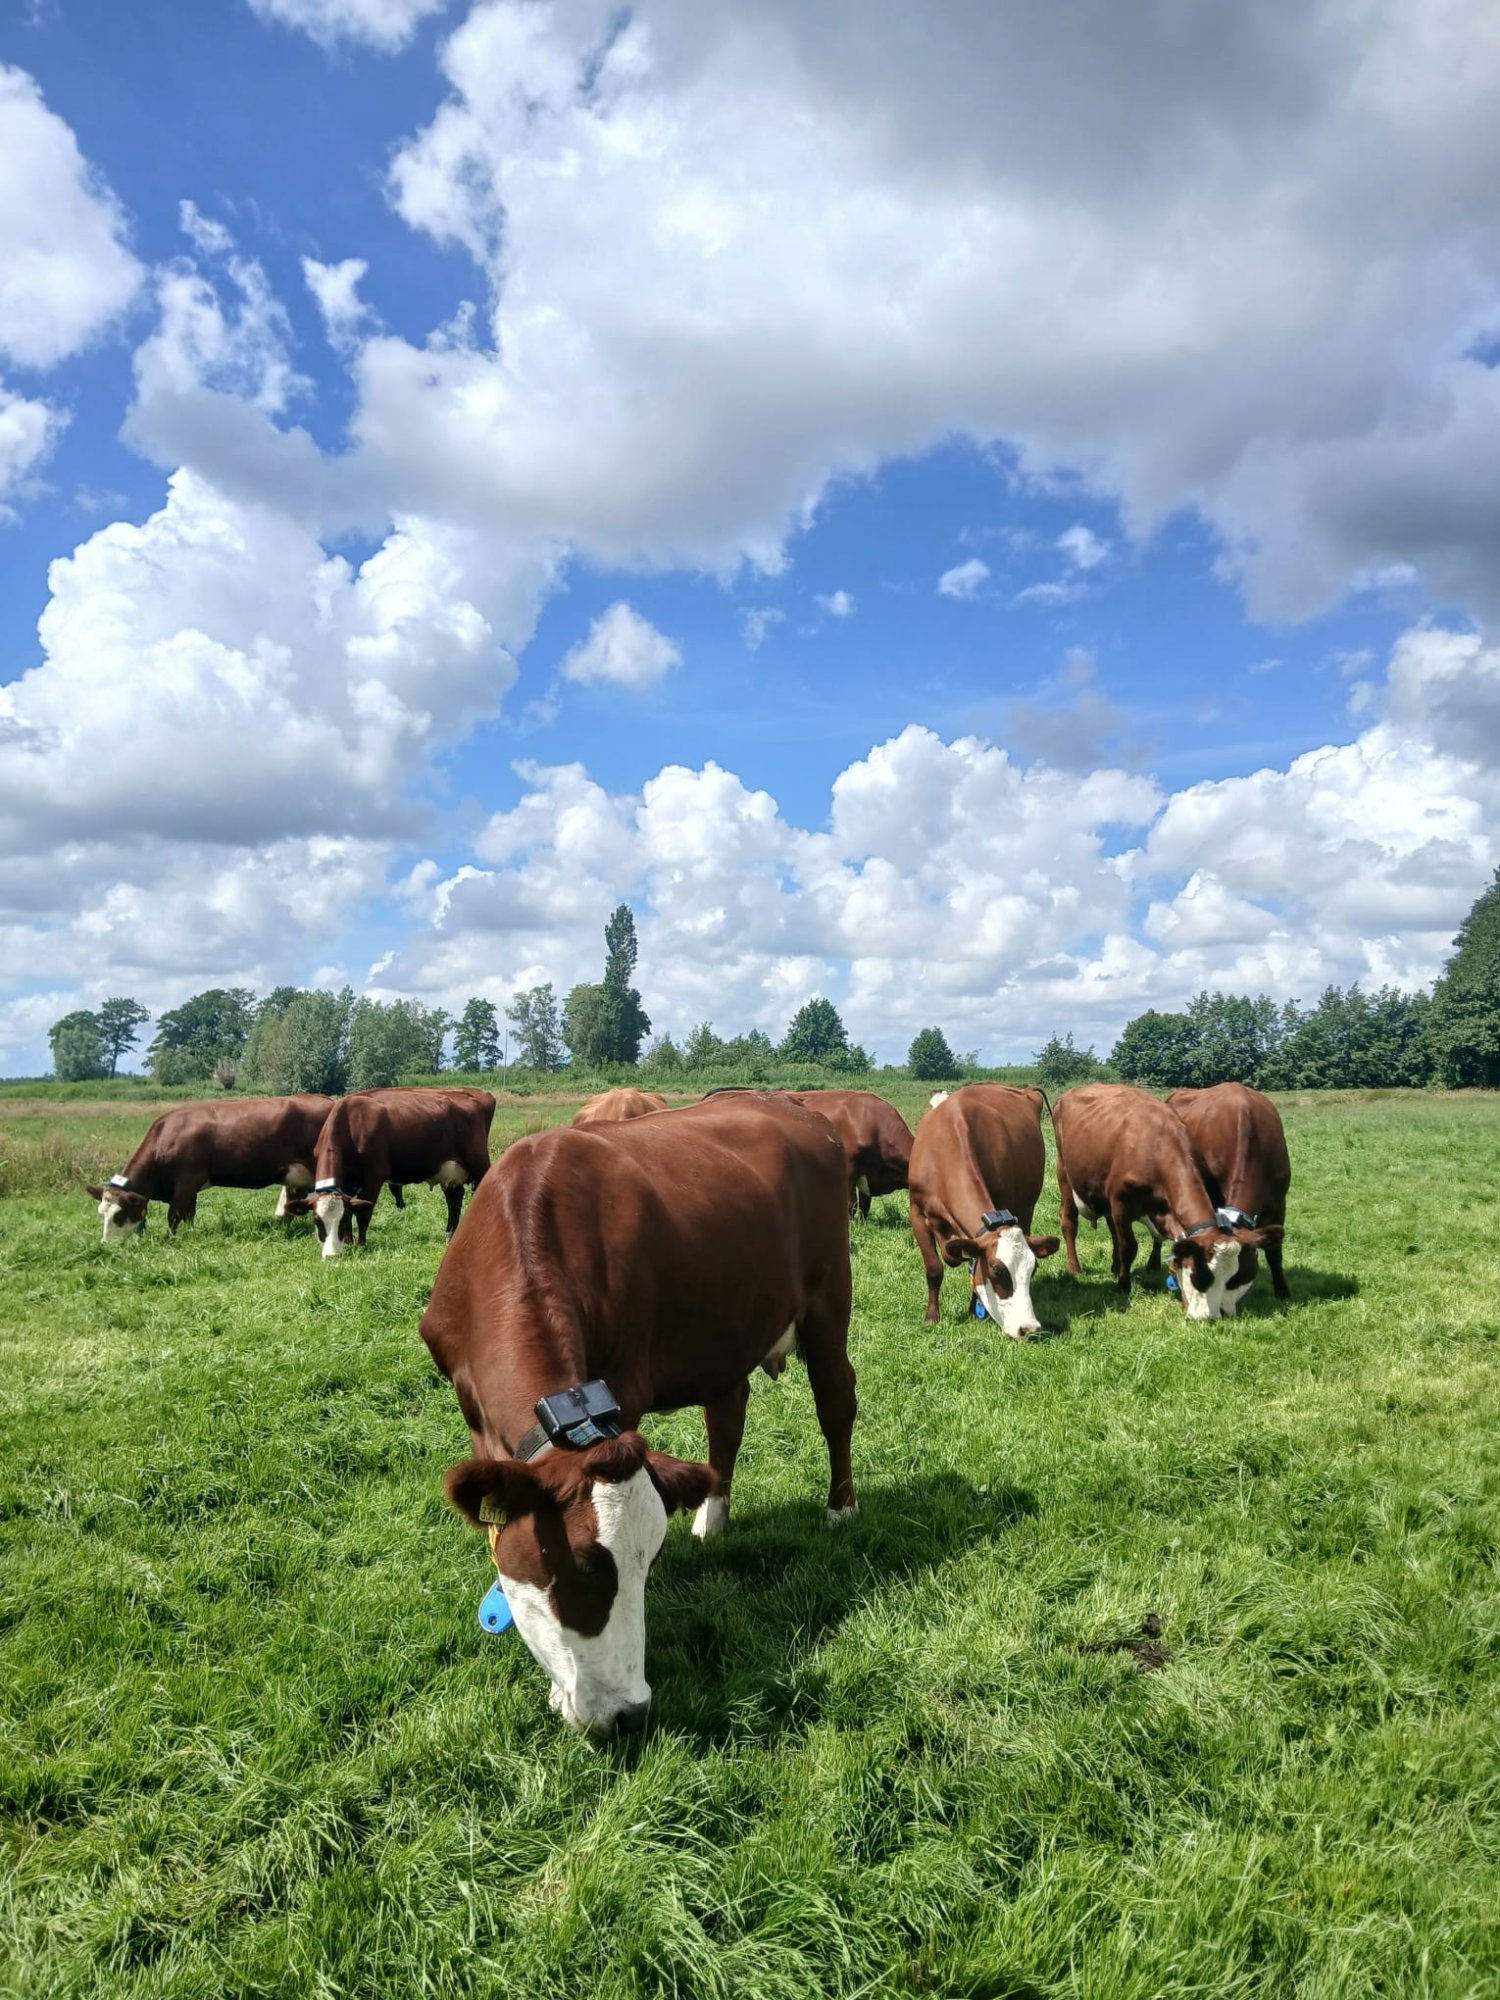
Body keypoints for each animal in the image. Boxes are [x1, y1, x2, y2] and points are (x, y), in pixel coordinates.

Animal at [85, 1094, 334, 1244]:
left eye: (119, 1215)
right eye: (101, 1213)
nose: (106, 1245)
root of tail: (325, 1099)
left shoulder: (187, 1181)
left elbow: (174, 1215)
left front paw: (171, 1239)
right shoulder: (188, 1189)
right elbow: (189, 1214)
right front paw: (191, 1234)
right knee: (291, 1204)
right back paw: (280, 1230)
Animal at [288, 1087, 495, 1258]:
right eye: (317, 1221)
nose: (331, 1255)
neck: (349, 1124)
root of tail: (472, 1094)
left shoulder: (374, 1176)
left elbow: (363, 1213)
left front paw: (360, 1245)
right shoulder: (346, 1184)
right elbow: (350, 1211)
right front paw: (347, 1242)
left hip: (479, 1163)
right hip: (450, 1170)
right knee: (454, 1198)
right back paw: (450, 1234)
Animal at [422, 1092, 857, 1738]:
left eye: (646, 1564)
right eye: (581, 1569)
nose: (628, 1713)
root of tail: (793, 1105)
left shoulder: (624, 1381)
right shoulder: (471, 1404)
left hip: (828, 1297)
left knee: (836, 1399)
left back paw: (840, 1509)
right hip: (726, 1328)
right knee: (727, 1416)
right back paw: (712, 1518)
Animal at [906, 1085, 1060, 1335]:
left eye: (1033, 1268)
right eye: (998, 1271)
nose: (1029, 1327)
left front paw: (976, 1308)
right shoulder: (917, 1213)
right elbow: (934, 1270)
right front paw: (931, 1318)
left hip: (1027, 1206)